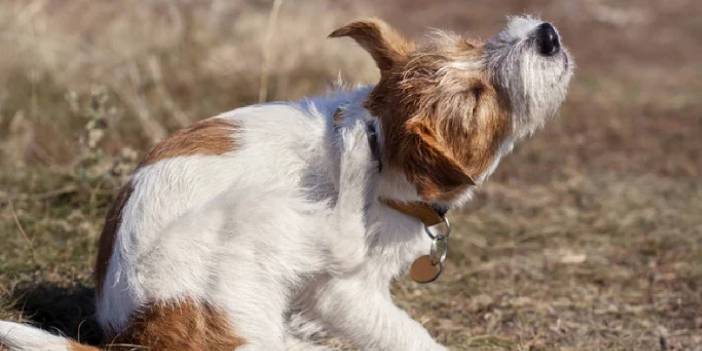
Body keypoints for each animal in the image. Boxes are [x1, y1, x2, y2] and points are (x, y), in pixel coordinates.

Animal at [0, 15, 572, 350]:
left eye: (471, 44)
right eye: (477, 97)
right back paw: (351, 151)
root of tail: (145, 332)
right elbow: (407, 334)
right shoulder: (344, 293)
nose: (546, 34)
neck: (388, 145)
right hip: (260, 210)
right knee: (338, 239)